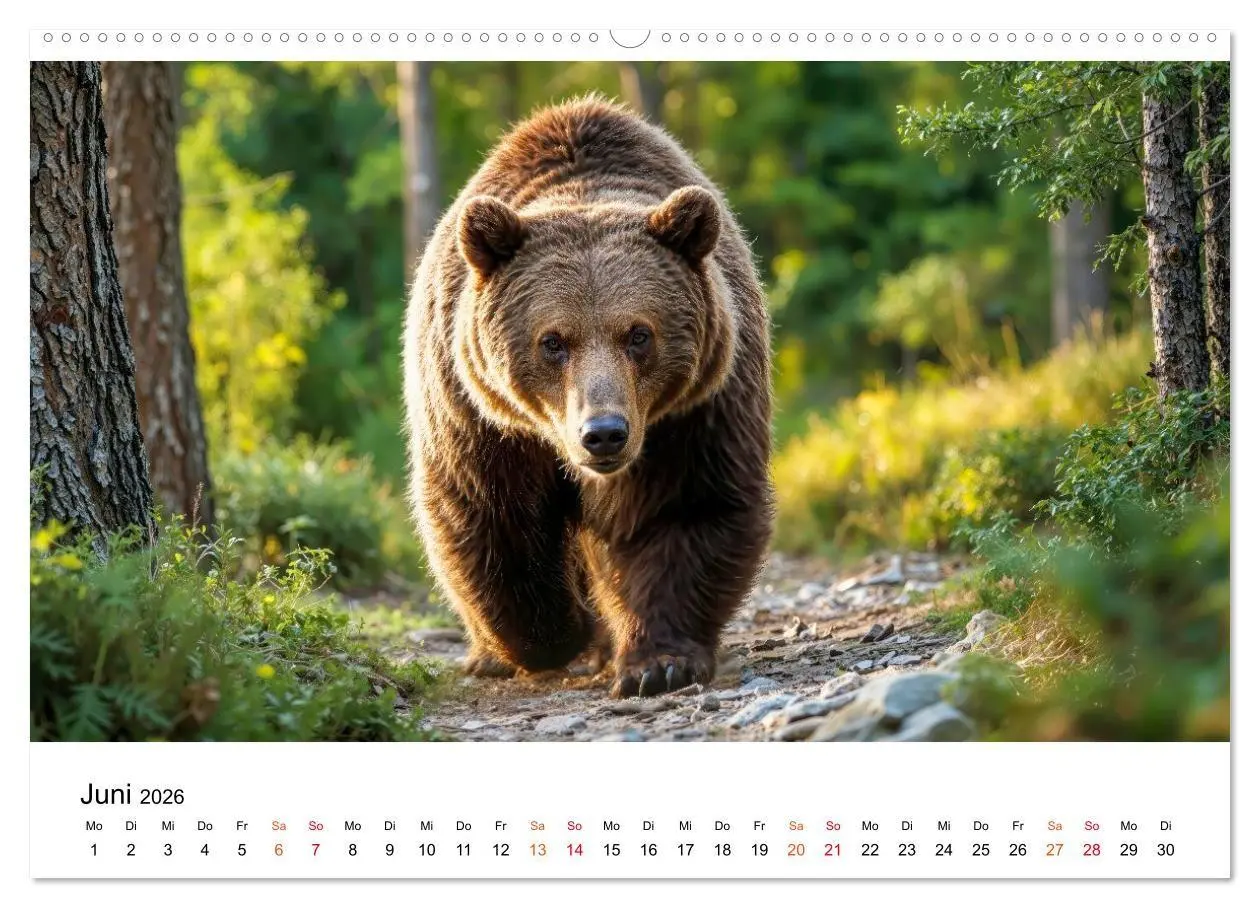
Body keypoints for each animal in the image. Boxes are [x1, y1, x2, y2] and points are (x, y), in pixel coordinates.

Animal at [403, 95, 773, 698]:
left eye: (639, 334)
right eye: (553, 341)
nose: (603, 433)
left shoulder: (695, 412)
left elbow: (684, 508)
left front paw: (658, 663)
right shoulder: (480, 418)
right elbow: (494, 519)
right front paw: (558, 636)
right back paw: (493, 656)